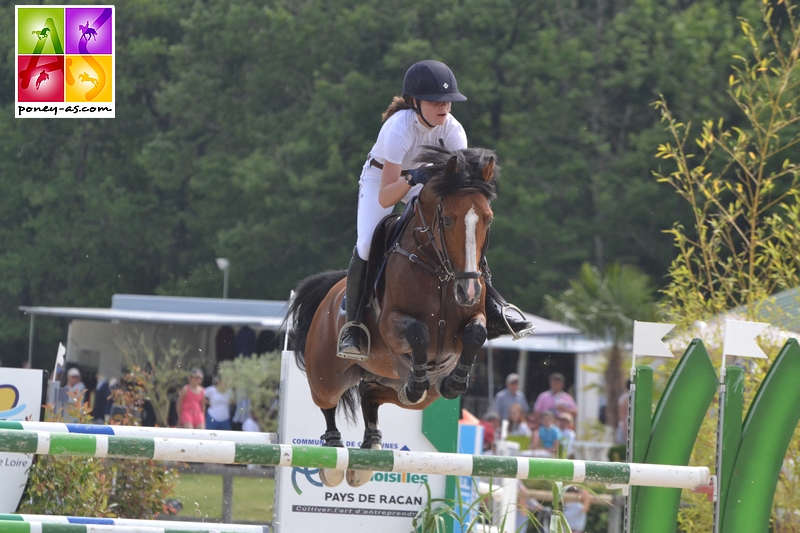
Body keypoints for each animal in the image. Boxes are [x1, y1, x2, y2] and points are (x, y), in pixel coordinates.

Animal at [288, 145, 500, 486]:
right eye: (447, 220)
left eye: (488, 220)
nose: (467, 290)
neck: (440, 273)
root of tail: (331, 291)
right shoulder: (390, 325)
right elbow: (418, 332)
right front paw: (422, 375)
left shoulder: (473, 319)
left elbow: (475, 333)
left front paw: (455, 382)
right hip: (327, 374)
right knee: (328, 404)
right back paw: (333, 457)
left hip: (406, 390)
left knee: (373, 394)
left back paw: (371, 448)